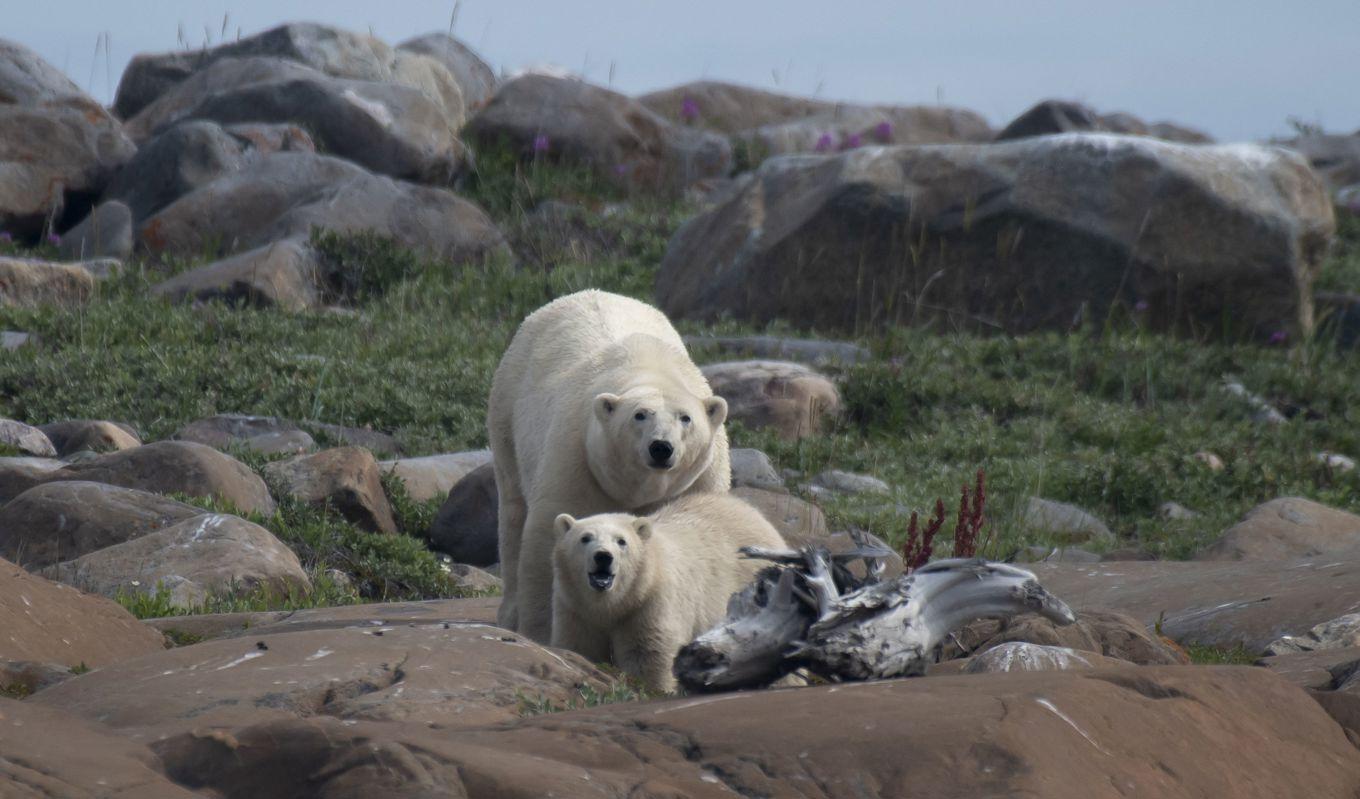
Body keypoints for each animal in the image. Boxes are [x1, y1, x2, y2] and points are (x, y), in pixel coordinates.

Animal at [486, 288, 728, 644]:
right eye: (640, 415)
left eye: (685, 418)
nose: (661, 448)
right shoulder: (577, 459)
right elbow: (548, 539)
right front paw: (543, 635)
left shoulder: (701, 479)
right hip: (507, 412)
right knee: (513, 512)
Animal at [552, 489, 788, 690]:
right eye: (585, 538)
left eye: (621, 541)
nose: (603, 556)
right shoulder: (576, 608)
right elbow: (580, 646)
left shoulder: (651, 603)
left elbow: (648, 655)